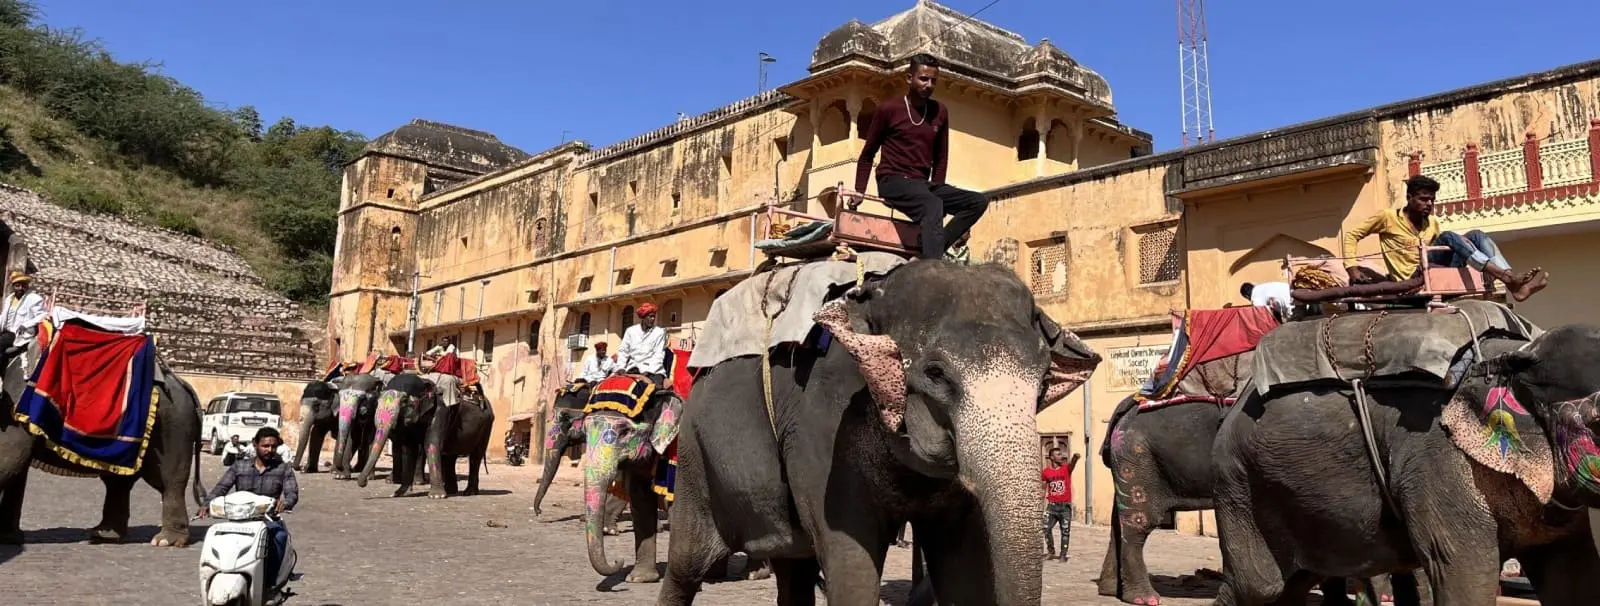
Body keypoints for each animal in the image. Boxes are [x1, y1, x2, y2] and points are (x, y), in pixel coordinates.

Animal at [0, 334, 206, 546]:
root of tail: (181, 382)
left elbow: (10, 460)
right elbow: (17, 469)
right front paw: (9, 538)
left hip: (172, 426)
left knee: (168, 479)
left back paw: (165, 541)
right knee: (118, 482)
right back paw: (105, 534)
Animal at [355, 375, 492, 498]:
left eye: (404, 402)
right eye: (378, 401)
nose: (364, 483)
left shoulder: (441, 411)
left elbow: (431, 444)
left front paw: (436, 496)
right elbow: (409, 449)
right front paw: (398, 493)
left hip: (486, 427)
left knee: (475, 457)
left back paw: (469, 492)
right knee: (449, 456)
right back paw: (451, 491)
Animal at [649, 262, 1100, 606]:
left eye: (1043, 379)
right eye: (935, 373)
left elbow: (964, 569)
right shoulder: (823, 428)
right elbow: (851, 564)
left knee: (794, 570)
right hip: (695, 457)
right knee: (686, 565)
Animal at [1209, 314, 1600, 604]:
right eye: (1597, 422)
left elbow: (1573, 578)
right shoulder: (1440, 465)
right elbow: (1462, 574)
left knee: (1296, 584)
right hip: (1241, 487)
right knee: (1259, 588)